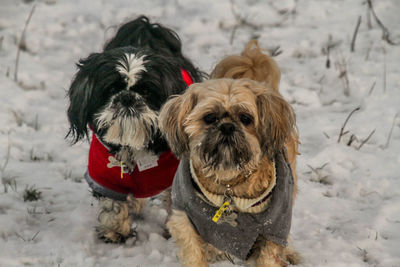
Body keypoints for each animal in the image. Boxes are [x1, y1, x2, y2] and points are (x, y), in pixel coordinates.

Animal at [67, 15, 205, 244]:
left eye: (147, 92)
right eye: (112, 89)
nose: (127, 98)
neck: (135, 147)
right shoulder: (106, 174)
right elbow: (113, 205)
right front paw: (114, 230)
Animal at [159, 77, 300, 266]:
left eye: (245, 118)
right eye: (209, 117)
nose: (227, 127)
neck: (228, 181)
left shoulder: (275, 227)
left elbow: (270, 255)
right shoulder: (184, 217)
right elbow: (193, 252)